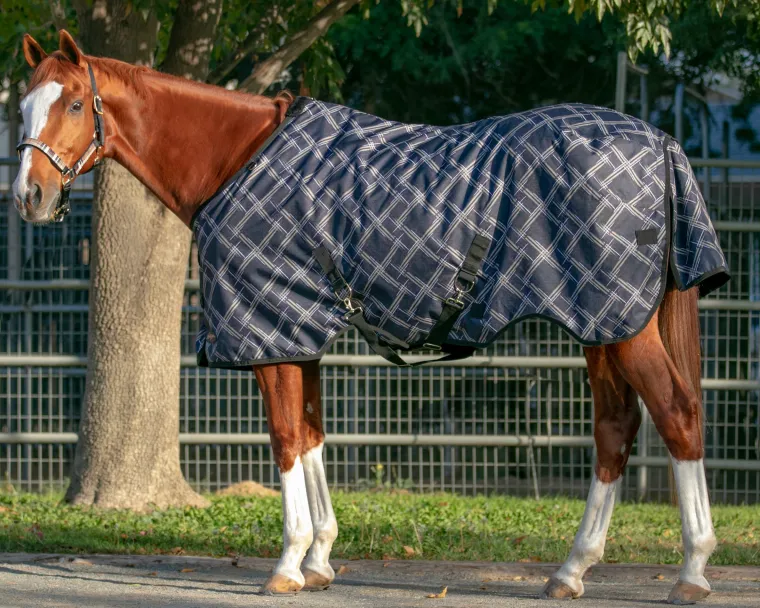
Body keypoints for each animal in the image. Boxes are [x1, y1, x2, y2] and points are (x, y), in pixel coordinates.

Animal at [14, 30, 727, 604]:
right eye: (20, 106)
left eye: (73, 104)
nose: (29, 197)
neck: (235, 157)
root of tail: (661, 142)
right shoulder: (299, 334)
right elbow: (311, 436)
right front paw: (320, 560)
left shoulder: (269, 331)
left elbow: (284, 440)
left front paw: (286, 565)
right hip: (603, 325)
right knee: (615, 429)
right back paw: (571, 571)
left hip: (623, 327)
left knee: (678, 415)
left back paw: (691, 572)